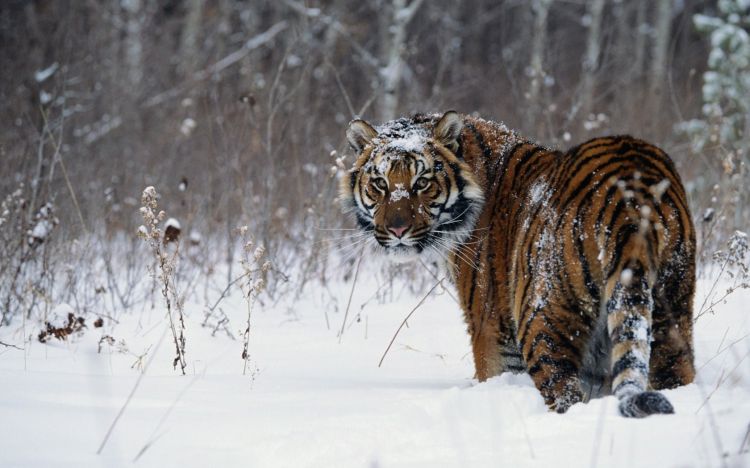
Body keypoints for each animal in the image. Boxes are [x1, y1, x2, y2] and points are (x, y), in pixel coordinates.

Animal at [340, 112, 700, 416]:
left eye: (422, 183)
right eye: (380, 184)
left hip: (542, 318)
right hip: (671, 308)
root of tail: (631, 194)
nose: (397, 230)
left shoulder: (491, 326)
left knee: (565, 392)